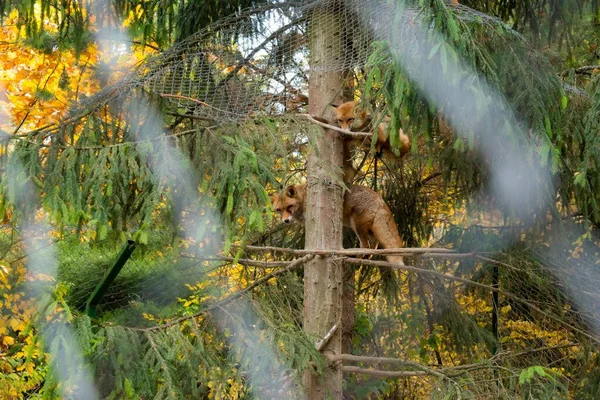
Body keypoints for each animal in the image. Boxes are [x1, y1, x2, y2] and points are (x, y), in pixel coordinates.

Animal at [270, 184, 404, 266]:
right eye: (279, 210)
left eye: (289, 207)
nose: (286, 221)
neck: (303, 199)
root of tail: (379, 197)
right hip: (370, 231)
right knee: (372, 249)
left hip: (357, 226)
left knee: (366, 246)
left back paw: (355, 258)